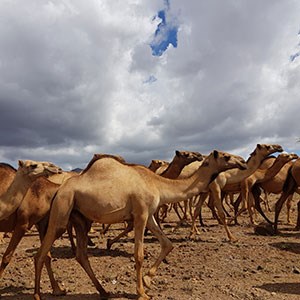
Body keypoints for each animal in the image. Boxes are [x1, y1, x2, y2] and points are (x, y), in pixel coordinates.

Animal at [34, 150, 247, 300]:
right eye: (226, 156)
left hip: (81, 218)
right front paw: (142, 292)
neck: (156, 183)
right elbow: (139, 255)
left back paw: (103, 291)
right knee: (42, 253)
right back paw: (39, 294)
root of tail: (59, 190)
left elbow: (167, 244)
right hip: (63, 208)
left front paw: (148, 280)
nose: (243, 162)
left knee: (81, 255)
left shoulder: (150, 215)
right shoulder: (141, 214)